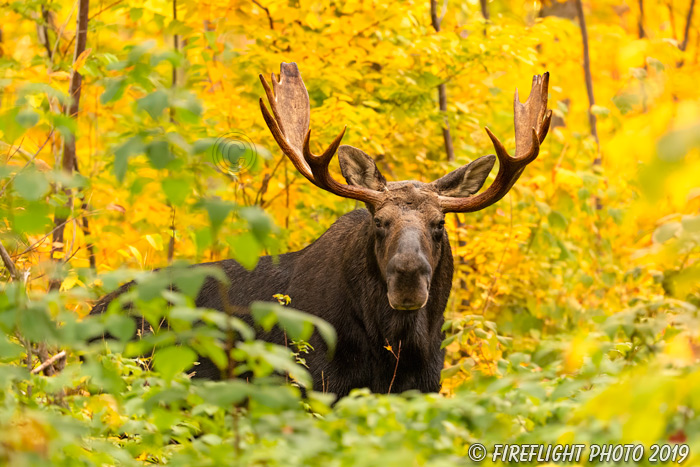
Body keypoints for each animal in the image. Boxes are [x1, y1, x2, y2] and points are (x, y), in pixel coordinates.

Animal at [93, 62, 552, 398]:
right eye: (379, 222)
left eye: (439, 224)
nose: (407, 277)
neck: (392, 348)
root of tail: (90, 311)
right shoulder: (315, 380)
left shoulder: (424, 387)